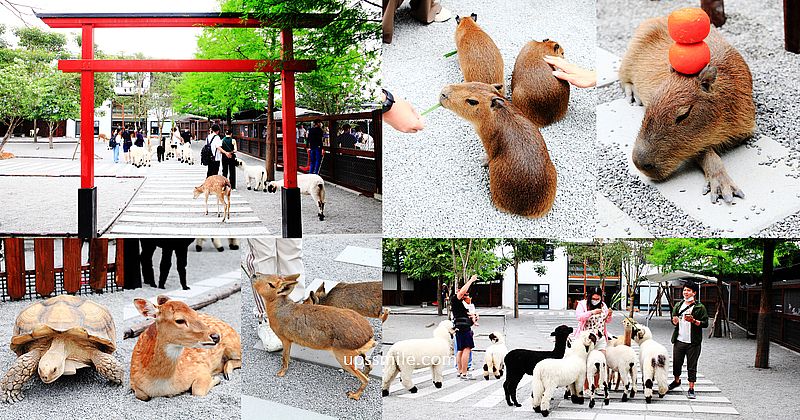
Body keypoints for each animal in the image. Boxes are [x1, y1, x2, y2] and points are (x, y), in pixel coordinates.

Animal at [253, 272, 378, 400]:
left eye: (271, 284)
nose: (254, 275)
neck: (280, 307)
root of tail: (368, 335)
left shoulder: (285, 340)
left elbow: (285, 357)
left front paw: (281, 372)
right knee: (369, 366)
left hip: (342, 356)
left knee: (365, 379)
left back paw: (354, 395)